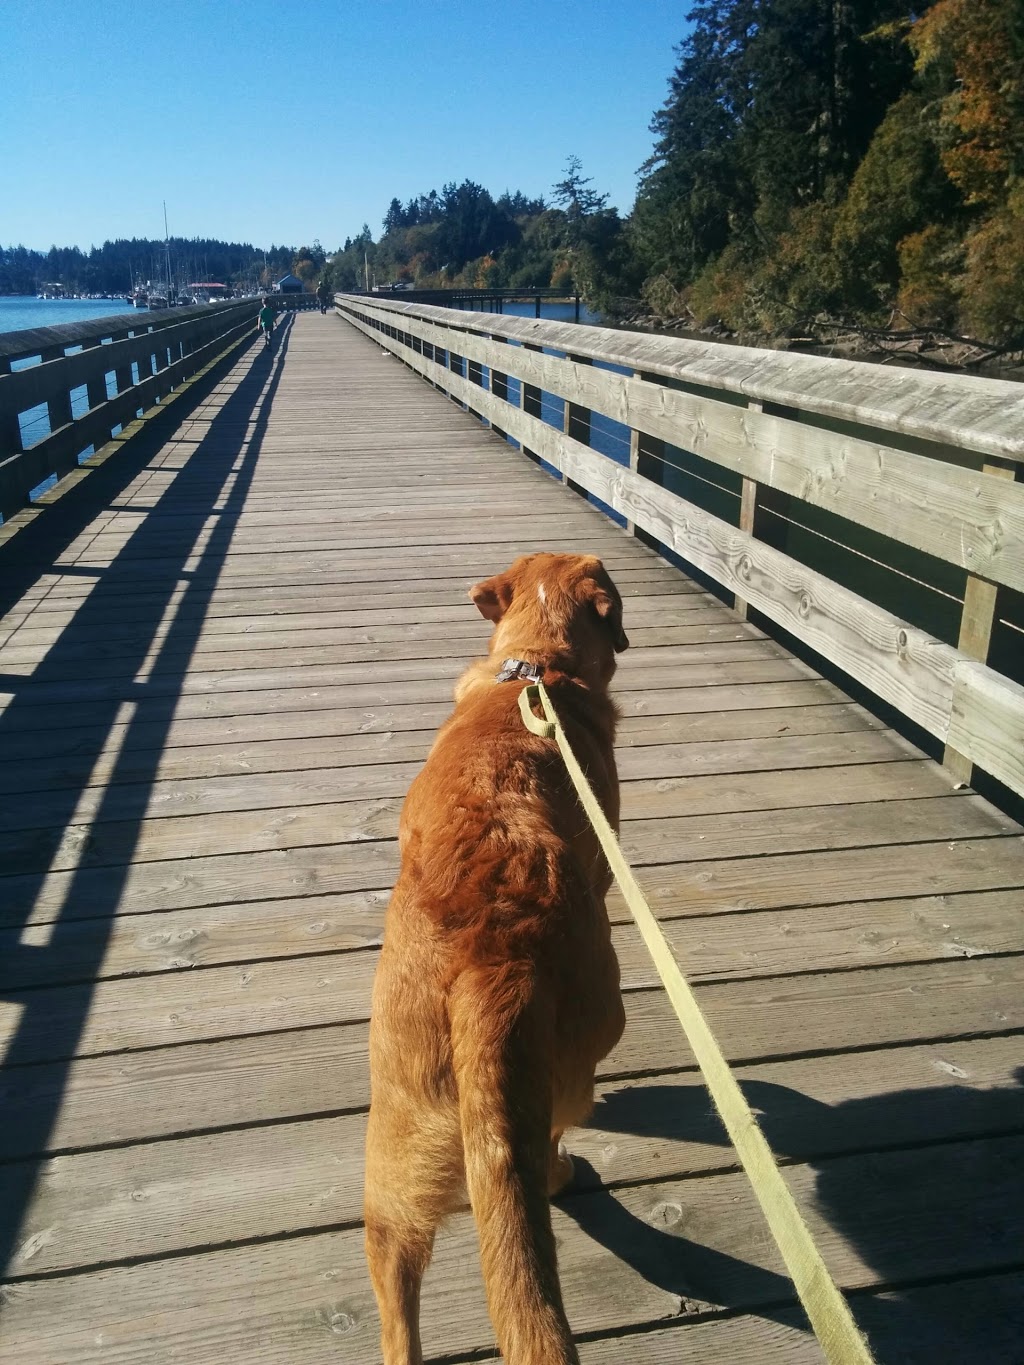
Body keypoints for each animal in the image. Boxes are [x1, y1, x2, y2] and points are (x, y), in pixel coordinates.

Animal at [365, 548, 630, 1359]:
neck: (535, 666)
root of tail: (493, 955)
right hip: (593, 1035)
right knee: (549, 1142)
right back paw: (565, 1170)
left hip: (398, 1142)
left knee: (395, 1290)